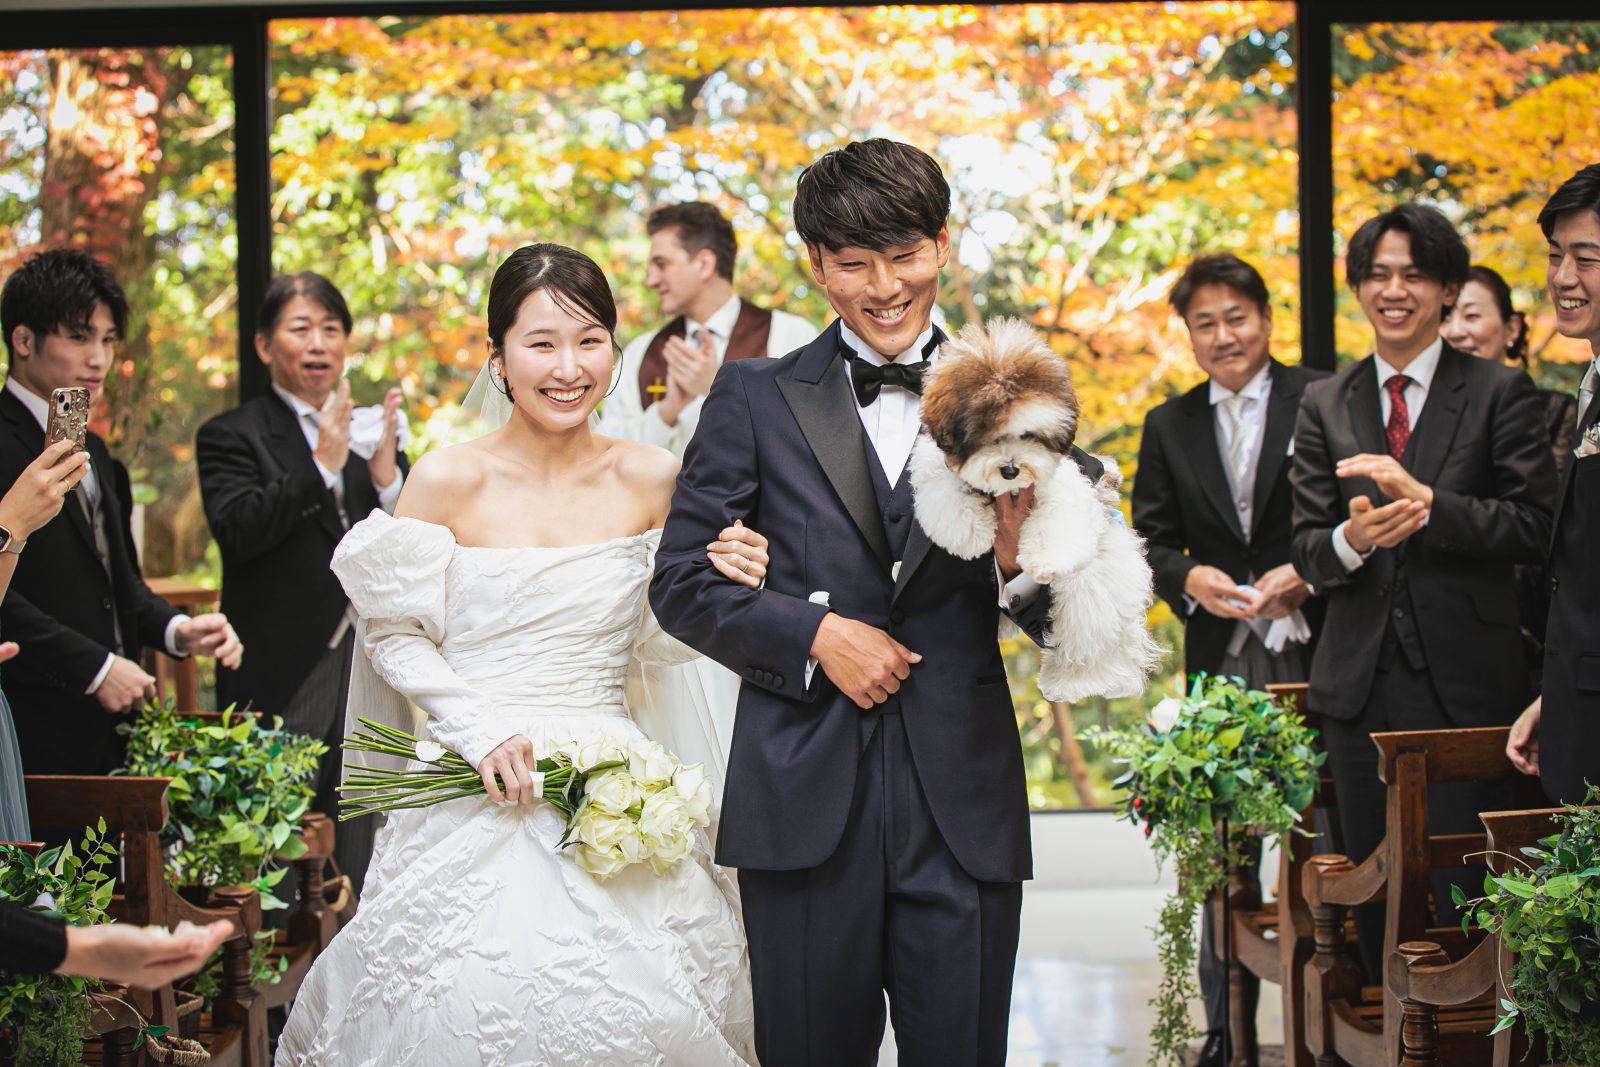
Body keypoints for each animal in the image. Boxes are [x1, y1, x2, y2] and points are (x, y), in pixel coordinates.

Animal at [910, 317, 1163, 702]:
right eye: (988, 434)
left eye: (1029, 433)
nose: (1010, 470)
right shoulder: (933, 463)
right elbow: (942, 489)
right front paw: (970, 530)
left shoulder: (1062, 483)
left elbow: (1057, 519)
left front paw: (1045, 558)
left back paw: (1072, 680)